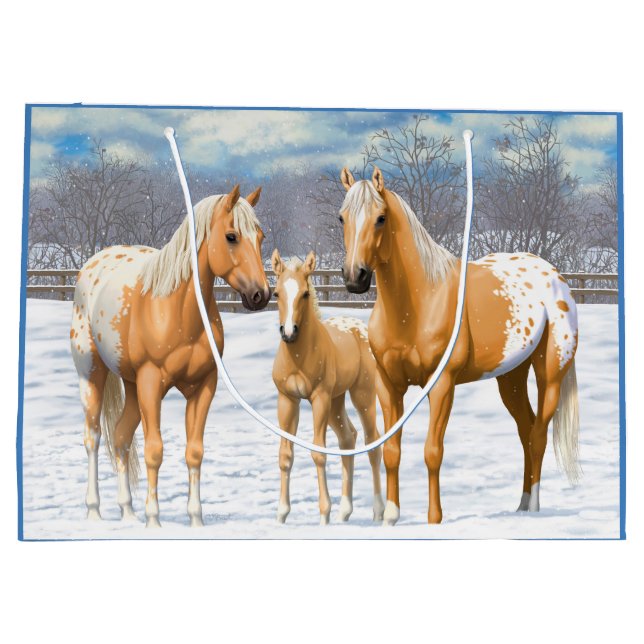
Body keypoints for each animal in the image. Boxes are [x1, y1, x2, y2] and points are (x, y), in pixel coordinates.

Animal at [70, 185, 271, 527]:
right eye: (231, 236)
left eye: (260, 237)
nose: (261, 295)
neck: (177, 311)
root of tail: (93, 263)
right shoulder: (151, 383)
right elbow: (154, 450)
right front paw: (154, 520)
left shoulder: (204, 386)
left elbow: (194, 452)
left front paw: (196, 521)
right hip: (92, 375)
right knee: (93, 437)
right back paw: (94, 511)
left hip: (131, 385)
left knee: (121, 436)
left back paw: (127, 512)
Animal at [270, 249, 384, 525]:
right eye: (276, 293)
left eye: (305, 293)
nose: (289, 332)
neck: (299, 357)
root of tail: (359, 327)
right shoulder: (287, 399)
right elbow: (285, 455)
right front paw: (281, 514)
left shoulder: (318, 398)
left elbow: (318, 452)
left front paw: (324, 514)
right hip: (336, 401)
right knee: (348, 438)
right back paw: (345, 512)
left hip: (361, 396)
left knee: (372, 442)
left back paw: (378, 512)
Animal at [337, 167, 580, 525]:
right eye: (341, 218)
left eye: (380, 218)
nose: (355, 277)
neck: (418, 302)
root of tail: (555, 275)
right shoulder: (388, 385)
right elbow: (392, 449)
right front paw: (391, 516)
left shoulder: (441, 386)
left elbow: (432, 451)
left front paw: (434, 519)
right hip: (511, 378)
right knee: (526, 429)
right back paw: (521, 505)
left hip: (549, 375)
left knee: (537, 435)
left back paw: (534, 507)